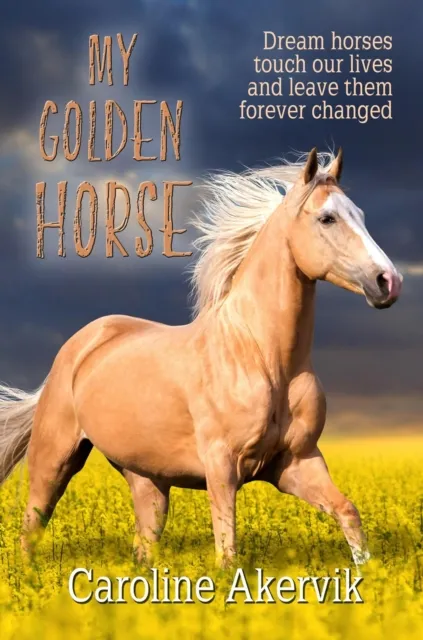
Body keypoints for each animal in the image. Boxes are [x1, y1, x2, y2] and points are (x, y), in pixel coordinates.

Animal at [0, 148, 402, 567]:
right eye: (327, 218)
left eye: (360, 214)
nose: (388, 282)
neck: (264, 359)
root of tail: (80, 345)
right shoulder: (221, 466)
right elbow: (227, 551)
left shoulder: (297, 462)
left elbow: (348, 513)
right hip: (54, 458)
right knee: (31, 526)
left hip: (147, 479)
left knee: (143, 543)